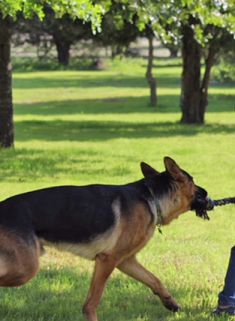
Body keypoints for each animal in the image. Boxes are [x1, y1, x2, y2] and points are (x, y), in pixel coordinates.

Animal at [0, 157, 212, 320]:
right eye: (193, 181)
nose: (207, 193)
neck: (152, 199)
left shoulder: (126, 261)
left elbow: (154, 280)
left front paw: (171, 303)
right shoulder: (107, 260)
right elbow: (91, 303)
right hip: (26, 268)